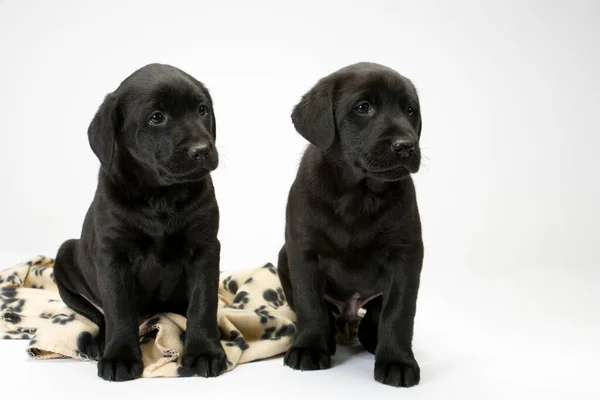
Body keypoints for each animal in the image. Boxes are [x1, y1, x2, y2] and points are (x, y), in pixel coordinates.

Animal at [54, 62, 226, 382]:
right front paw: (120, 357)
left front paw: (204, 351)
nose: (201, 150)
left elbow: (203, 302)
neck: (161, 197)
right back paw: (100, 343)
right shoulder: (113, 255)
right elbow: (118, 309)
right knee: (98, 315)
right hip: (65, 255)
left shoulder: (206, 248)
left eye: (202, 110)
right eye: (156, 117)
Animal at [278, 62, 424, 388]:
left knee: (375, 314)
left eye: (410, 110)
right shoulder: (303, 252)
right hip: (283, 257)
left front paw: (397, 361)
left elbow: (398, 311)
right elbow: (310, 304)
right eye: (363, 107)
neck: (359, 194)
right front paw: (310, 348)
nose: (407, 146)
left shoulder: (406, 256)